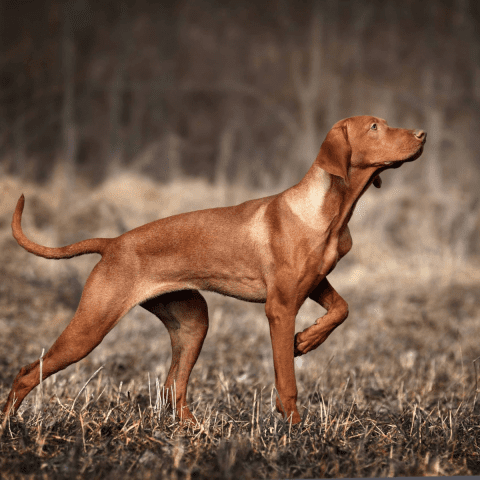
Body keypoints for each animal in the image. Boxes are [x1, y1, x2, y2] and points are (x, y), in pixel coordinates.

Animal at [2, 116, 424, 424]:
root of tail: (113, 243)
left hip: (192, 322)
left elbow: (342, 309)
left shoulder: (314, 282)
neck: (330, 209)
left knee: (173, 387)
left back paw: (192, 430)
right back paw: (9, 425)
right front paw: (295, 426)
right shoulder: (280, 307)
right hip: (91, 326)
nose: (422, 135)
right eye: (375, 126)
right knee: (27, 371)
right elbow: (286, 378)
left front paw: (307, 340)